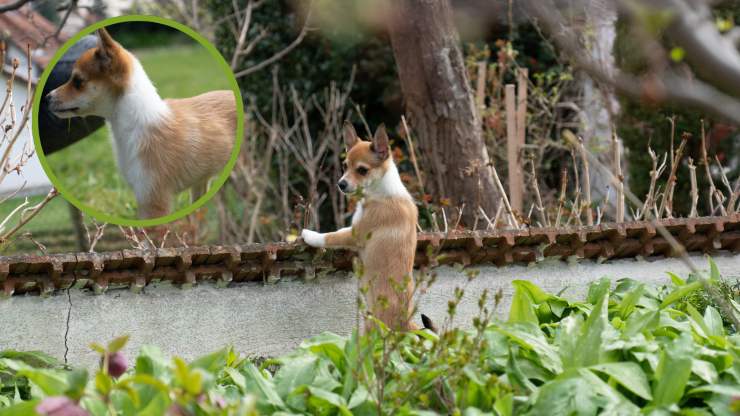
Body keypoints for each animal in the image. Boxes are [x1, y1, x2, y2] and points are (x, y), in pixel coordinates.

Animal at [300, 122, 416, 332]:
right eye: (345, 166)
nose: (341, 184)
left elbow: (332, 235)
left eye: (362, 170)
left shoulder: (355, 233)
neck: (381, 190)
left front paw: (310, 234)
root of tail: (406, 324)